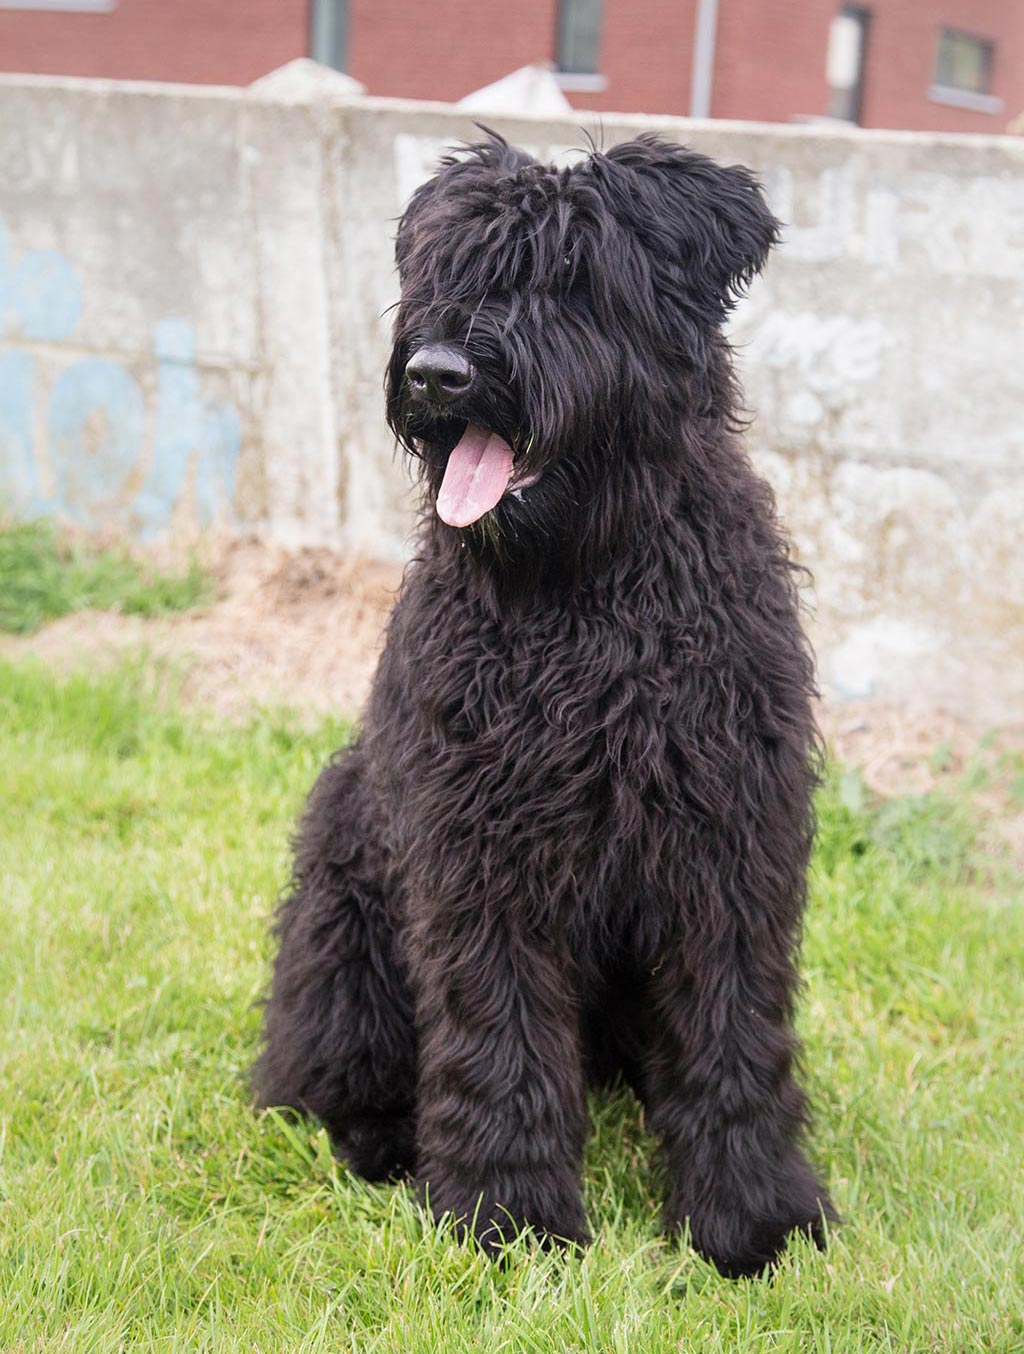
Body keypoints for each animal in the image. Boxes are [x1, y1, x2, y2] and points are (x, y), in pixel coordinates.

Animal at [254, 132, 834, 1272]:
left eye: (573, 279)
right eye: (447, 270)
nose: (438, 372)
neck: (584, 587)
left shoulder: (729, 845)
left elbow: (733, 1037)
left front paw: (751, 1219)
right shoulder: (481, 854)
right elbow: (498, 1038)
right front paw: (507, 1216)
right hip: (344, 911)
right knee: (318, 1062)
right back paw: (378, 1138)